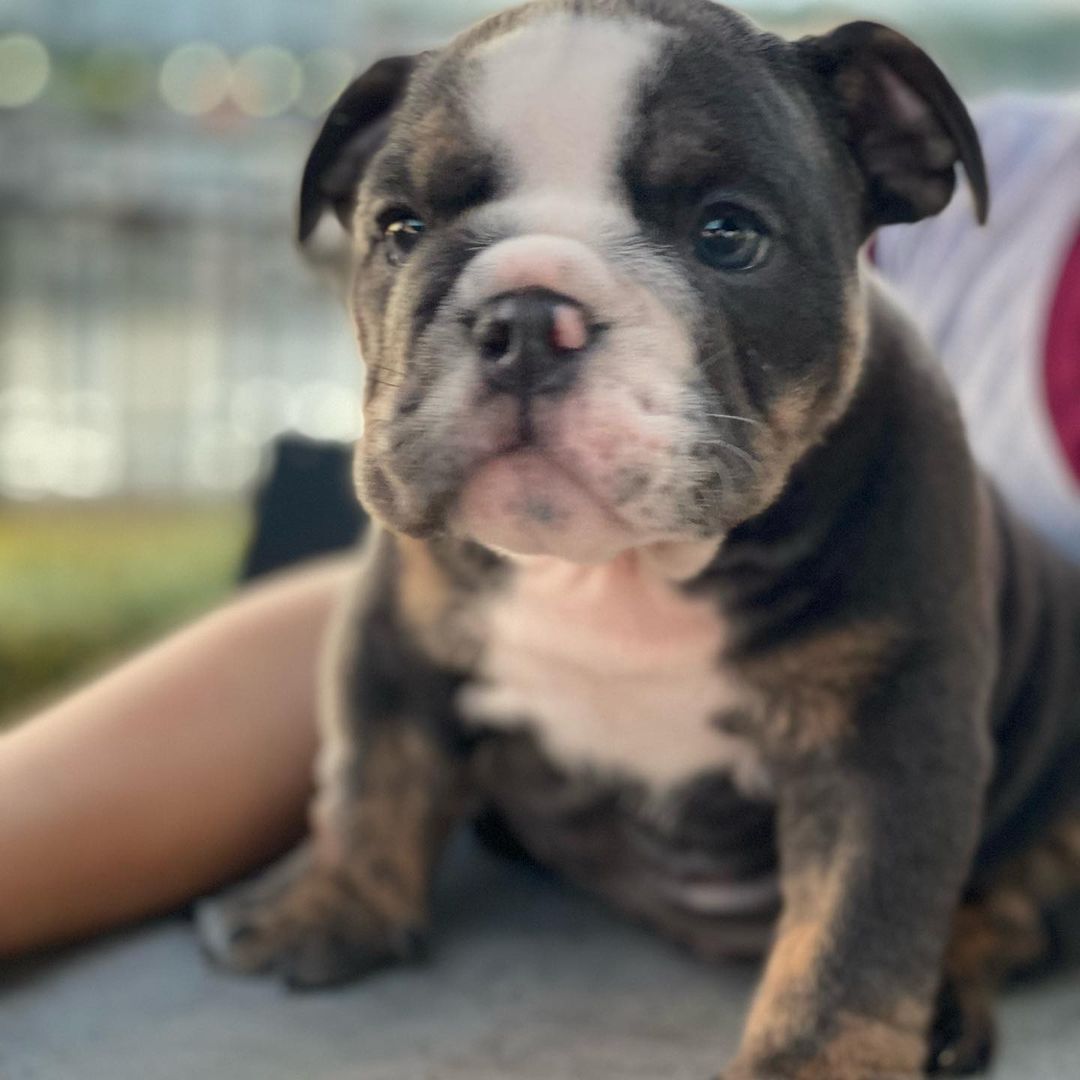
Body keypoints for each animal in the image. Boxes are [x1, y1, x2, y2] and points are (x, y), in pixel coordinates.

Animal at [198, 4, 1080, 1075]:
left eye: (728, 235)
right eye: (400, 230)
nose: (527, 315)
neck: (618, 574)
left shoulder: (888, 735)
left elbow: (855, 932)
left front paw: (813, 1061)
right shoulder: (395, 632)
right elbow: (380, 767)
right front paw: (335, 905)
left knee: (1015, 908)